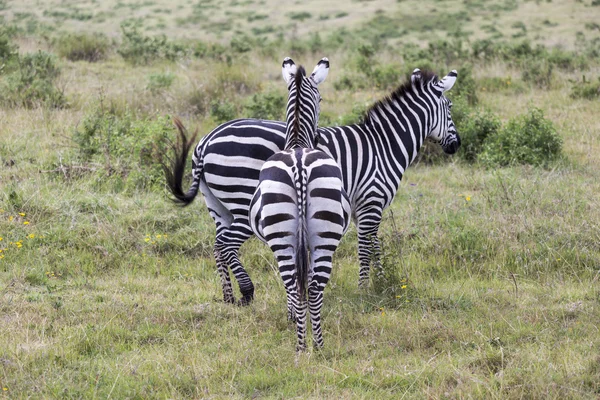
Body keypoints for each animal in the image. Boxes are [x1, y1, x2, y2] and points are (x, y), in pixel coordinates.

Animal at [164, 67, 460, 304]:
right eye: (450, 107)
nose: (456, 146)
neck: (383, 145)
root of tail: (205, 142)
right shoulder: (371, 201)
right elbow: (366, 247)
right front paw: (366, 289)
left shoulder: (360, 208)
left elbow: (375, 246)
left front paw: (383, 282)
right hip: (244, 202)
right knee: (226, 245)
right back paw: (247, 292)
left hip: (218, 206)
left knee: (217, 245)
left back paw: (228, 296)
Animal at [250, 58, 352, 350]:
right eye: (322, 98)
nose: (318, 137)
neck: (297, 141)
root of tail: (299, 163)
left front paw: (293, 318)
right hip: (320, 235)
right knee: (310, 286)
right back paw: (313, 345)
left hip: (285, 236)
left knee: (296, 284)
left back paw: (304, 345)